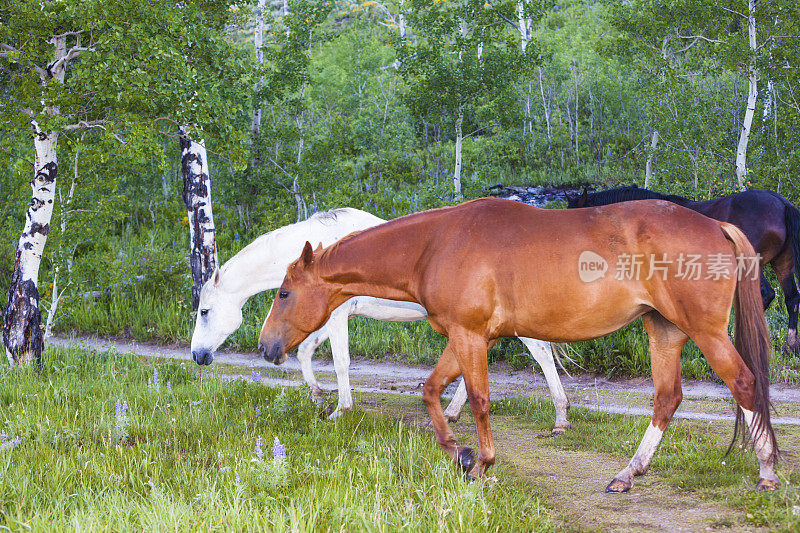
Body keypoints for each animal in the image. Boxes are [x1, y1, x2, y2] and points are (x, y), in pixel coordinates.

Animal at [191, 208, 572, 432]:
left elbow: (341, 362)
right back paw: (452, 412)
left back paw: (560, 417)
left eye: (204, 311)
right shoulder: (327, 318)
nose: (197, 355)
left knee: (540, 353)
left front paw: (341, 410)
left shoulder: (337, 316)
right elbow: (305, 352)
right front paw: (317, 396)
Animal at [260, 197, 780, 492]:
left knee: (744, 384)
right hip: (665, 331)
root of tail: (716, 227)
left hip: (704, 332)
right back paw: (627, 475)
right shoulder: (466, 336)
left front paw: (481, 463)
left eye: (284, 293)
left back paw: (767, 473)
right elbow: (431, 391)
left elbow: (479, 399)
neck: (436, 243)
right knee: (667, 398)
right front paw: (458, 452)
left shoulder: (470, 337)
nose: (266, 347)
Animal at [568, 187, 800, 354]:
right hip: (783, 263)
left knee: (765, 294)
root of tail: (782, 203)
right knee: (791, 298)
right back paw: (789, 346)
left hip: (753, 263)